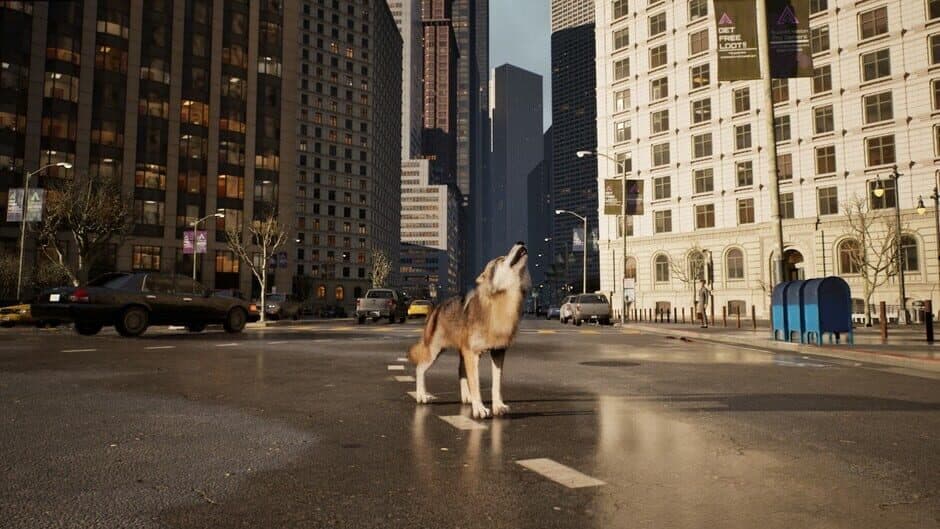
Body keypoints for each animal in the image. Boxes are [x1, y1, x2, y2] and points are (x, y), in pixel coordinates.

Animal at [407, 242, 530, 419]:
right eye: (501, 259)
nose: (521, 242)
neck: (501, 301)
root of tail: (437, 307)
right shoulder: (473, 353)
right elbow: (476, 383)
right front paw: (479, 409)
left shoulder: (498, 352)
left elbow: (496, 384)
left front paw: (498, 406)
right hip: (435, 351)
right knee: (419, 368)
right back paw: (422, 396)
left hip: (460, 352)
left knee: (460, 371)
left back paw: (466, 397)